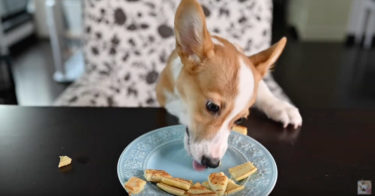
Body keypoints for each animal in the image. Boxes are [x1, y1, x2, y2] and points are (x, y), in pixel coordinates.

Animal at [156, 0, 302, 169]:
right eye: (212, 107)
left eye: (240, 120)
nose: (212, 163)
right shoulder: (164, 94)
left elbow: (263, 89)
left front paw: (281, 107)